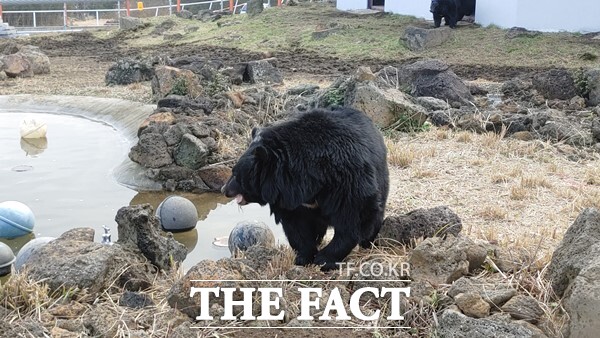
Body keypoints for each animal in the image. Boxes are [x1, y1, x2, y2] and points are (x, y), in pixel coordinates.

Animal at [220, 107, 390, 270]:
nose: (224, 189)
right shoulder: (289, 199)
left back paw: (368, 244)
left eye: (235, 174)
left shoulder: (346, 179)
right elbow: (296, 226)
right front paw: (304, 257)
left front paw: (324, 259)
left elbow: (354, 214)